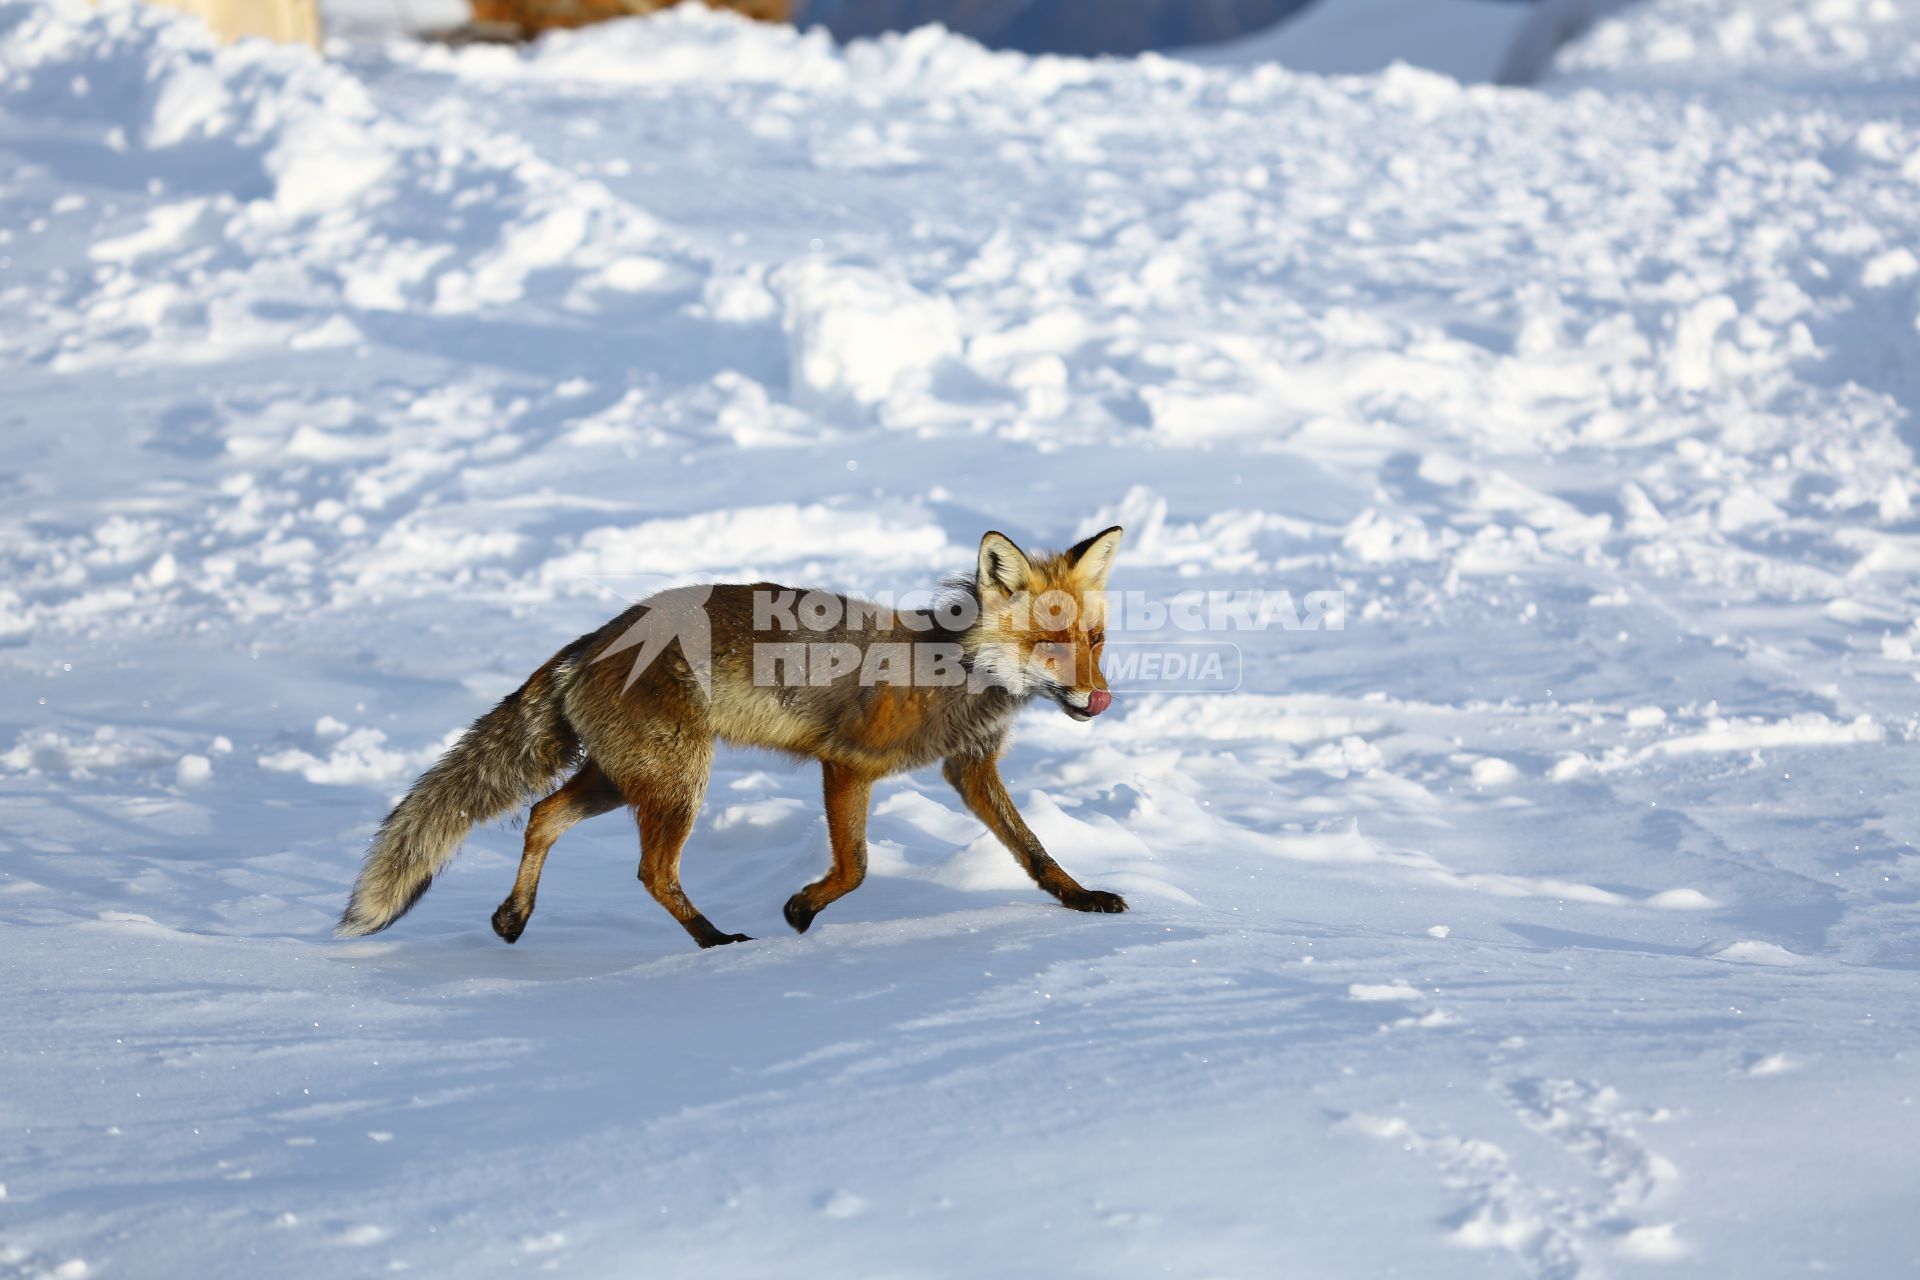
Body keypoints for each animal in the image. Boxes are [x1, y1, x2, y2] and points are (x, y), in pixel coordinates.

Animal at [339, 521, 1128, 951]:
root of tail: (596, 635)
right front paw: (800, 909)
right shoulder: (846, 764)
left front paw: (1081, 899)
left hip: (624, 778)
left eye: (1092, 639)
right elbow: (856, 867)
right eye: (1048, 644)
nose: (1101, 697)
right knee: (649, 871)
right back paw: (713, 940)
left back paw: (513, 917)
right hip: (677, 783)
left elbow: (1034, 851)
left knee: (541, 814)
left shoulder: (970, 769)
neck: (948, 671)